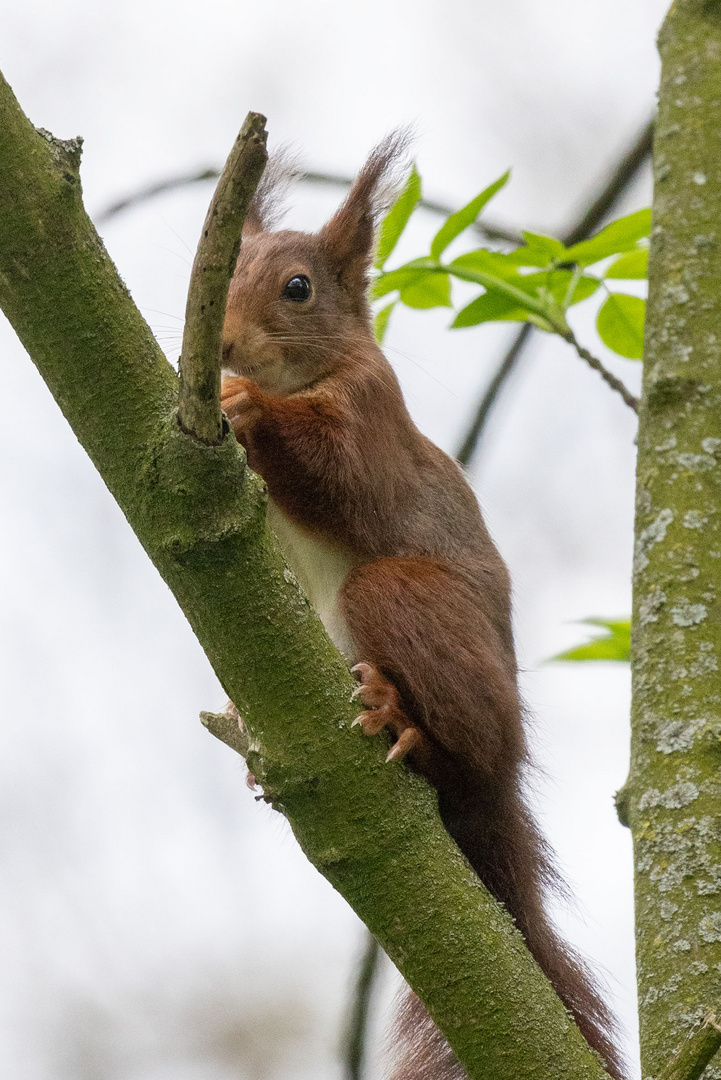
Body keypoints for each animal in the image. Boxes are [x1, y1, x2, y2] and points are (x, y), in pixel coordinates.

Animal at [220, 135, 626, 1080]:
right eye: (218, 271)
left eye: (297, 287)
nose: (218, 343)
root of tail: (509, 778)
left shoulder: (371, 415)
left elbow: (337, 472)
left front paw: (243, 405)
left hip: (402, 600)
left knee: (462, 754)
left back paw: (404, 722)